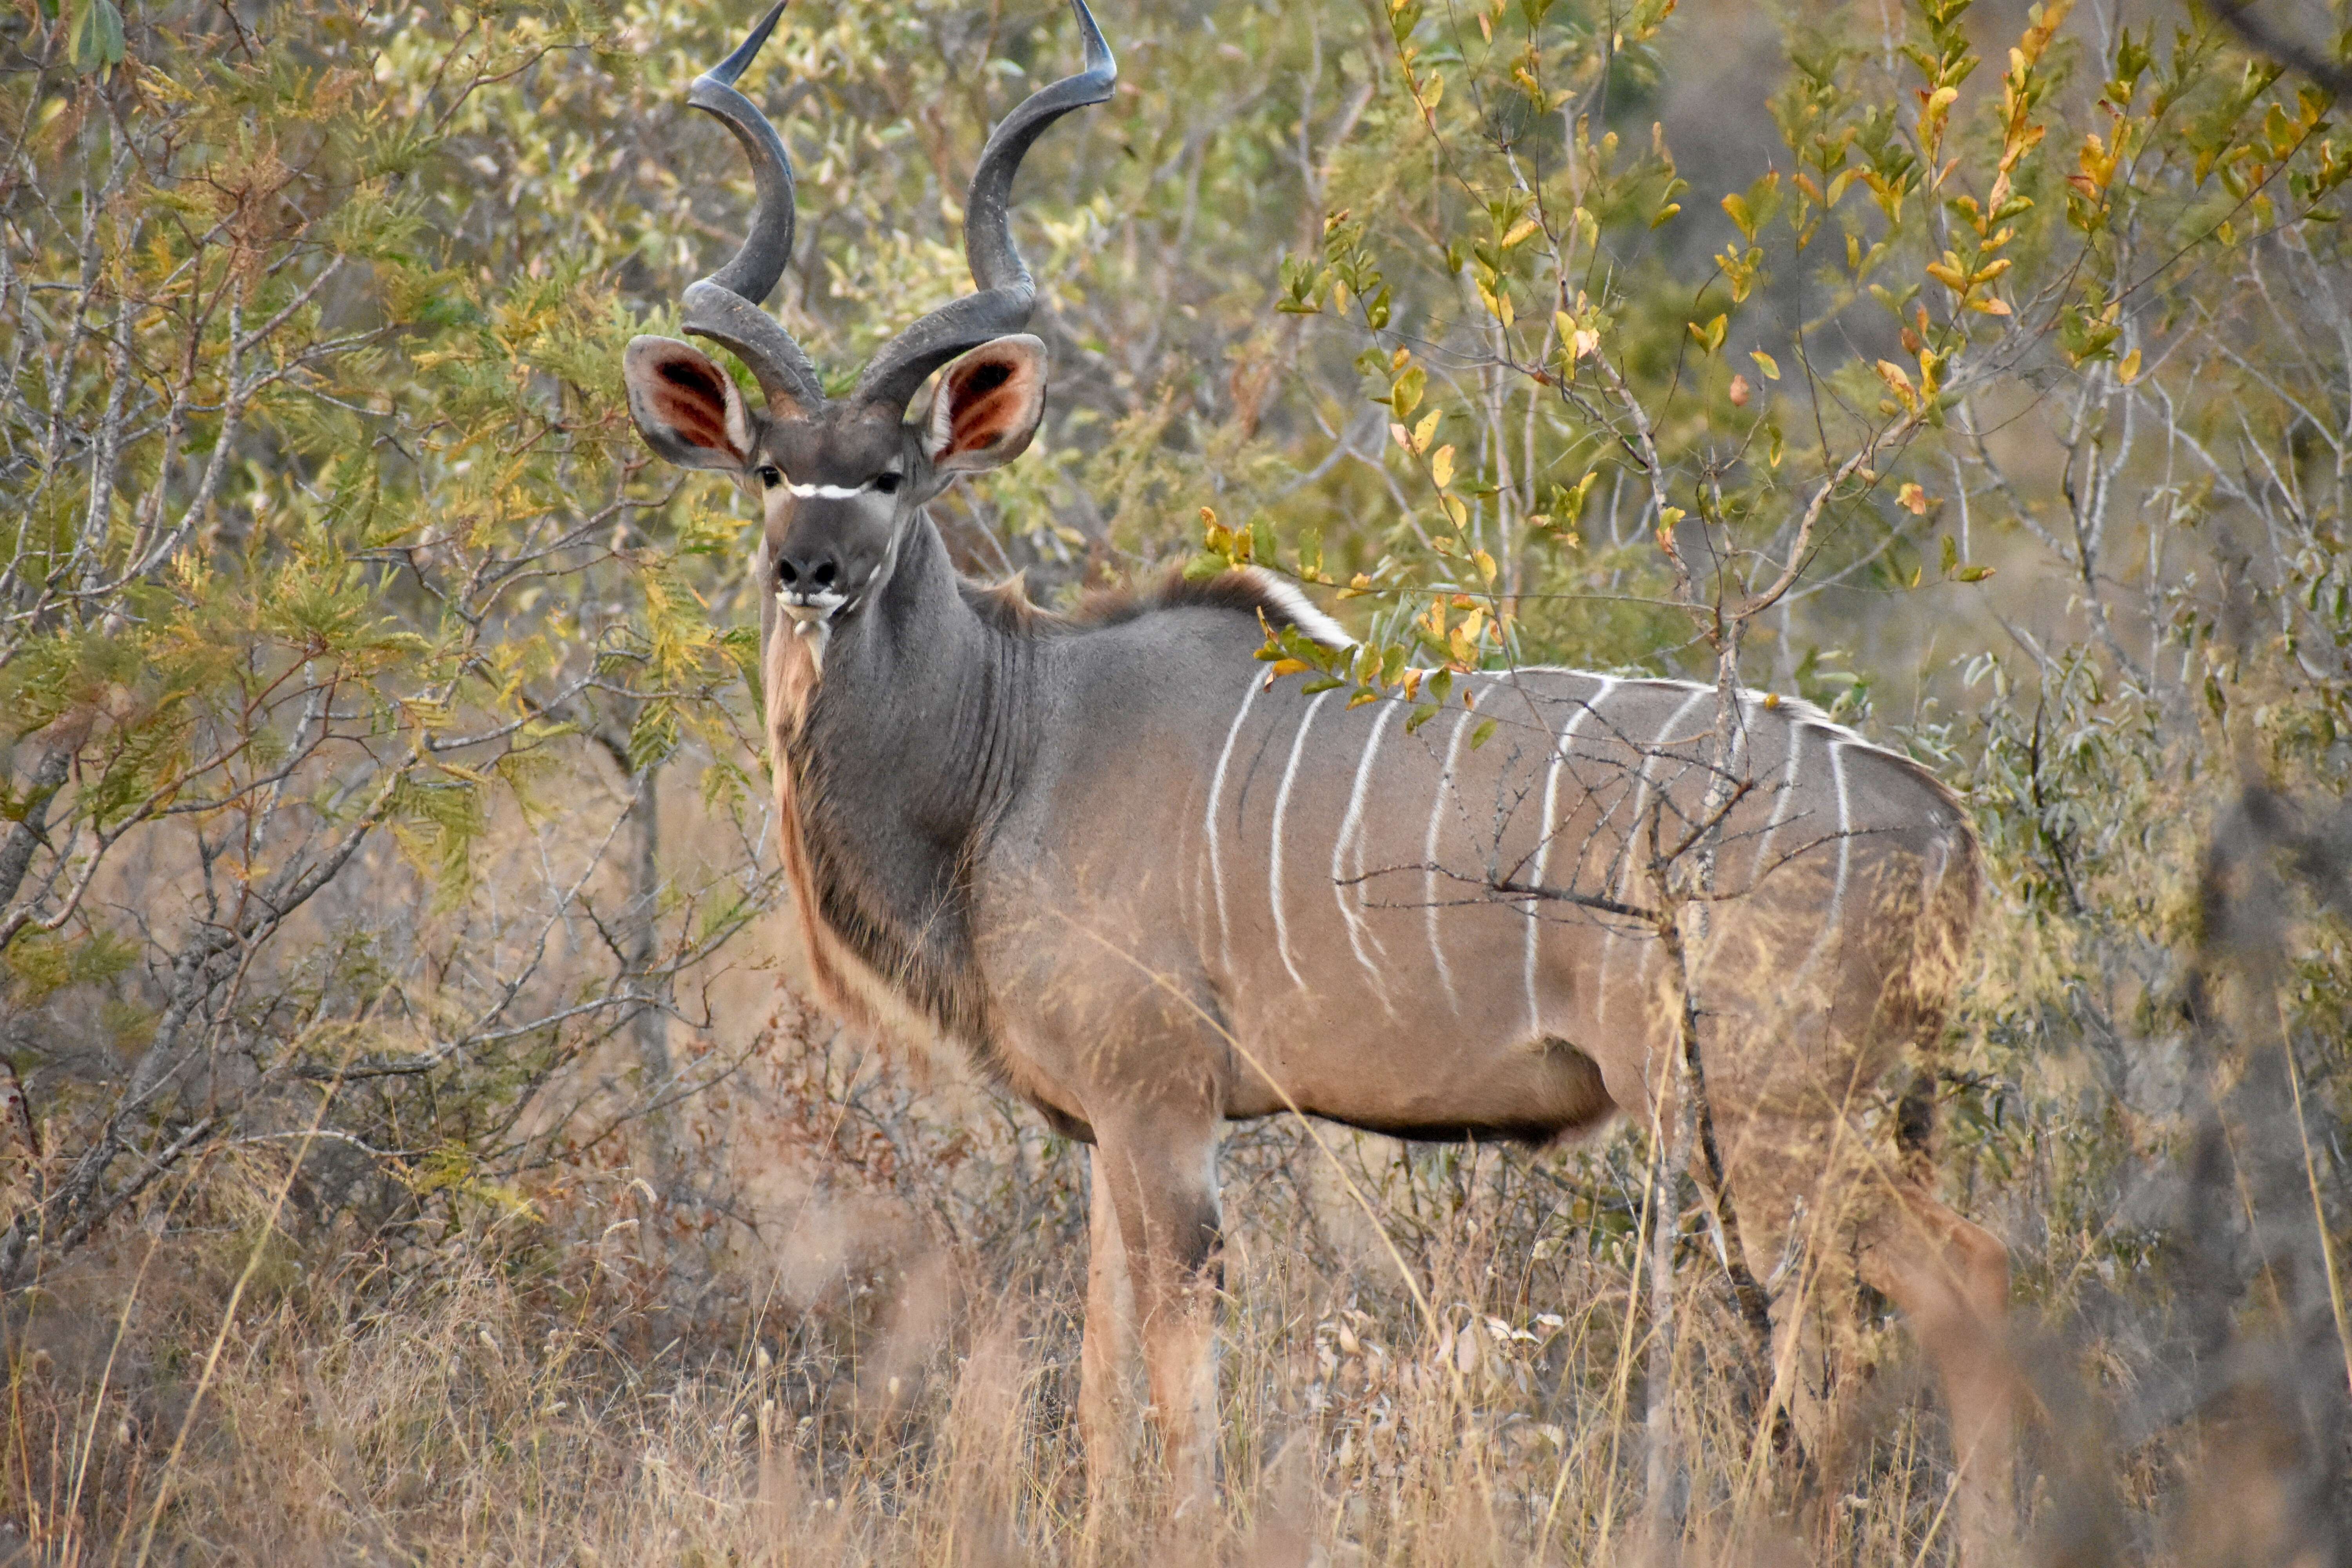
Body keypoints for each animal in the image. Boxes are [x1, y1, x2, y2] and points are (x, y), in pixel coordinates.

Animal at [630, 6, 2023, 1561]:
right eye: (765, 468)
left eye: (885, 473)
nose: (805, 569)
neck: (1015, 735)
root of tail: (1942, 823)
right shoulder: (1107, 1128)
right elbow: (1102, 1374)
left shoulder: (1161, 1107)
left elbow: (1175, 1370)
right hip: (1843, 1118)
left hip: (1765, 1118)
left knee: (1929, 1295)